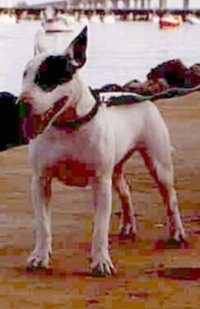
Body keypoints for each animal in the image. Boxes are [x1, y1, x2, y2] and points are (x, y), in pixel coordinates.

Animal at [17, 26, 186, 276]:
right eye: (25, 75)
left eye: (48, 77)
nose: (21, 103)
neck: (69, 125)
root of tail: (138, 96)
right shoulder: (40, 181)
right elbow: (42, 224)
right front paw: (39, 257)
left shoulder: (100, 182)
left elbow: (100, 227)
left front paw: (101, 262)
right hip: (116, 170)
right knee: (126, 192)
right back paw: (128, 225)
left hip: (158, 164)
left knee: (170, 198)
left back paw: (176, 233)